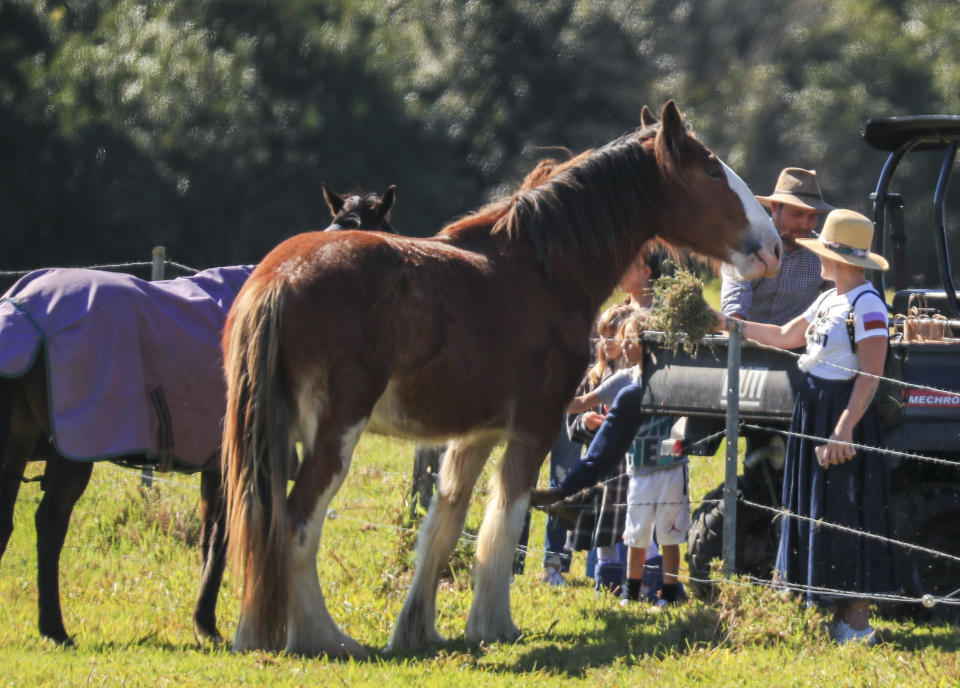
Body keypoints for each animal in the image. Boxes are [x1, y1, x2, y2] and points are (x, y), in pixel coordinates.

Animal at [0, 184, 394, 644]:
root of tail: (23, 308)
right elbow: (226, 538)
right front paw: (210, 624)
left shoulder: (215, 467)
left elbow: (211, 539)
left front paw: (204, 621)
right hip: (72, 451)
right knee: (50, 524)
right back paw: (55, 627)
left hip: (17, 442)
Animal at [221, 102, 784, 656]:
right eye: (711, 171)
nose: (774, 247)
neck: (541, 270)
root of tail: (281, 275)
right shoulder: (535, 426)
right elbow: (505, 520)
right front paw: (493, 624)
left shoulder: (474, 436)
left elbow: (444, 525)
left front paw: (418, 629)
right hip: (335, 434)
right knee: (297, 521)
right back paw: (323, 636)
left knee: (261, 516)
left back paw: (257, 631)